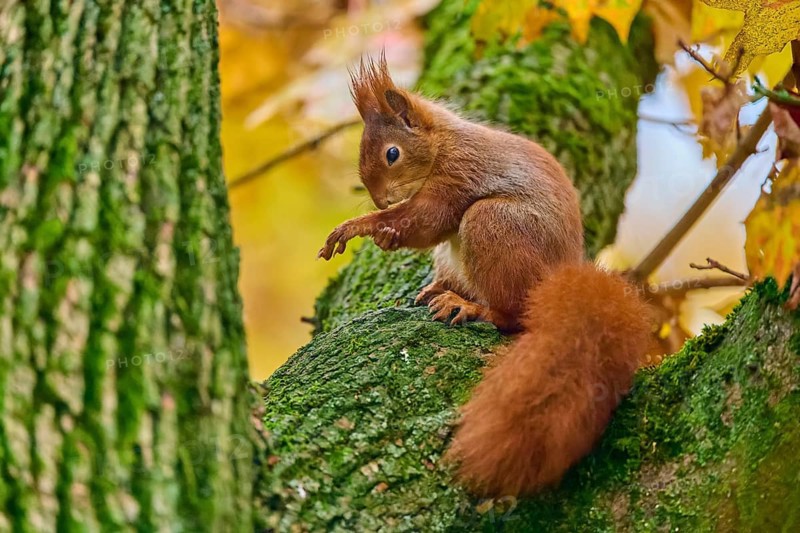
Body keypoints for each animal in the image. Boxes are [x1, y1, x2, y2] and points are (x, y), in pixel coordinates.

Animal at [317, 55, 653, 497]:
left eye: (392, 153)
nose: (379, 198)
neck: (444, 143)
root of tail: (555, 279)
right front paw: (382, 230)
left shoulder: (460, 173)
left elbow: (427, 220)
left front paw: (360, 226)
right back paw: (440, 289)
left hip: (492, 224)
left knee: (511, 315)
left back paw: (470, 307)